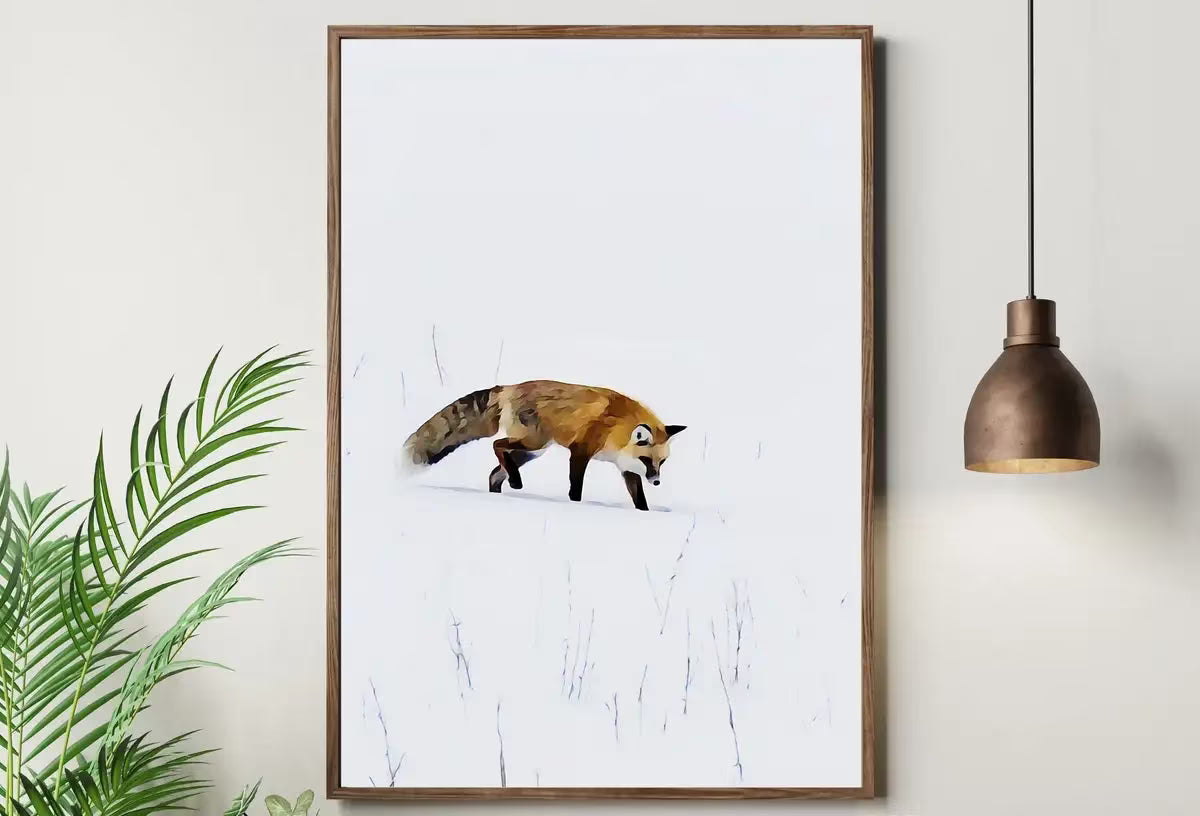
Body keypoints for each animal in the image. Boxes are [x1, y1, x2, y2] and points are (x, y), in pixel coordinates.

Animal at [400, 380, 686, 511]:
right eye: (648, 460)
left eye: (662, 462)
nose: (657, 481)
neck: (618, 430)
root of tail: (510, 386)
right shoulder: (580, 451)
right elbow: (575, 488)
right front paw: (576, 506)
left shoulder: (627, 467)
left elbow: (639, 499)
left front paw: (644, 515)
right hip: (533, 442)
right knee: (497, 444)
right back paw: (515, 482)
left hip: (533, 451)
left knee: (495, 473)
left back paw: (502, 491)